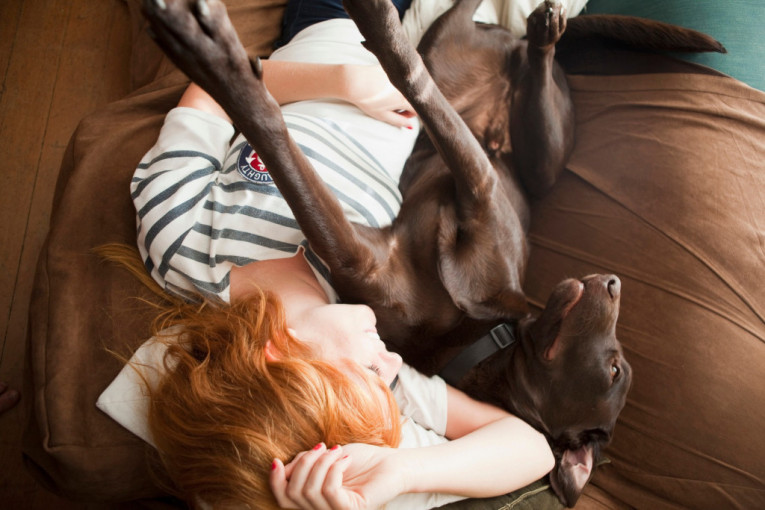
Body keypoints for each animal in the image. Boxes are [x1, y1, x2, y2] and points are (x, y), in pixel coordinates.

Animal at [142, 0, 724, 504]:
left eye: (615, 371)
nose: (614, 283)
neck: (482, 334)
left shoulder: (383, 245)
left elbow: (283, 134)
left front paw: (210, 55)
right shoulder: (459, 198)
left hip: (528, 144)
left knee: (432, 69)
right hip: (524, 133)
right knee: (486, 44)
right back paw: (540, 31)